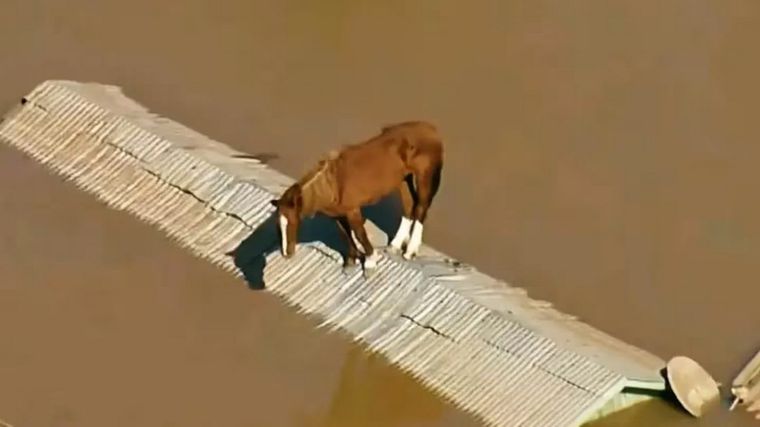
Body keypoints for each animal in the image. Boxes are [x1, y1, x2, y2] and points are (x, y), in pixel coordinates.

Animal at [269, 121, 444, 276]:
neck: (332, 184)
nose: (286, 253)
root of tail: (431, 129)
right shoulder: (338, 215)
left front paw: (370, 262)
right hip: (403, 179)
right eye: (278, 225)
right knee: (409, 206)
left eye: (292, 223)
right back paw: (395, 245)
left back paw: (410, 251)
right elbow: (346, 235)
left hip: (425, 177)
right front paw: (351, 262)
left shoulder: (353, 210)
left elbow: (360, 233)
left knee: (421, 208)